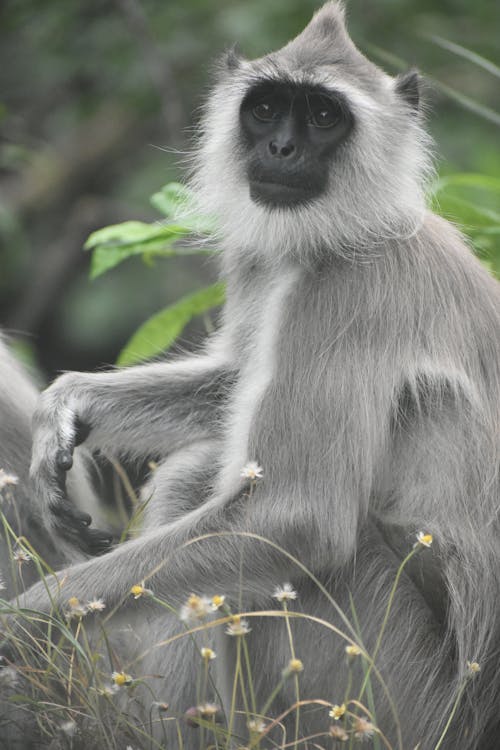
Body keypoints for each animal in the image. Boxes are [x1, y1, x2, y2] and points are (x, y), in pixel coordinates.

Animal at [0, 1, 500, 748]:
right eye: (265, 110)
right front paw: (68, 406)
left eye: (323, 116)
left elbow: (296, 520)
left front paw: (28, 626)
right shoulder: (264, 257)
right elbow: (237, 378)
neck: (351, 229)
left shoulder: (349, 289)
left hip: (386, 691)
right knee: (195, 472)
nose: (282, 151)